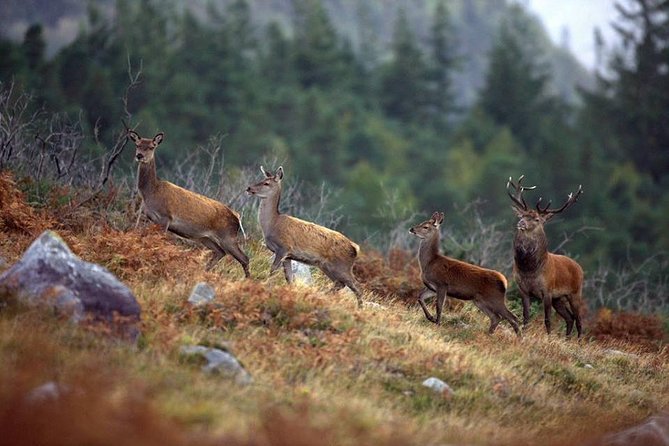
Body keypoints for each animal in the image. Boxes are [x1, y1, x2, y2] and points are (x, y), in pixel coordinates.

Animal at [129, 129, 249, 278]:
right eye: (137, 145)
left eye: (152, 146)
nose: (139, 156)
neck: (151, 192)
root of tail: (237, 216)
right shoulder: (151, 218)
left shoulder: (165, 217)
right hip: (205, 237)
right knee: (220, 252)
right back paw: (203, 272)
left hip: (227, 236)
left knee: (244, 258)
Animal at [245, 166, 362, 306]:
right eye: (261, 179)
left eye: (266, 183)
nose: (249, 188)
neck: (272, 224)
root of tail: (355, 248)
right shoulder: (288, 255)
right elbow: (289, 278)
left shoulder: (283, 247)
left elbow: (273, 270)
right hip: (327, 266)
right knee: (340, 284)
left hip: (341, 266)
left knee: (356, 286)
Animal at [508, 176, 580, 336]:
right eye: (522, 215)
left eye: (536, 219)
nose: (521, 222)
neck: (530, 269)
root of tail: (579, 267)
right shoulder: (523, 289)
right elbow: (526, 316)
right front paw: (523, 334)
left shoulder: (547, 290)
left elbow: (547, 320)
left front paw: (548, 337)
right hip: (558, 299)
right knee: (570, 318)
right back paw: (567, 339)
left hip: (575, 293)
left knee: (579, 320)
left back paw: (579, 340)